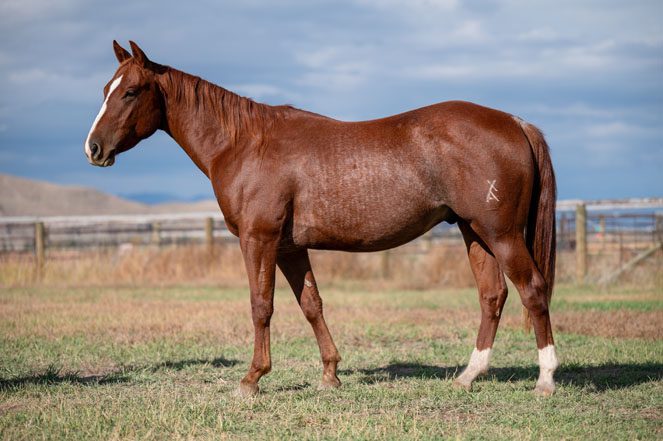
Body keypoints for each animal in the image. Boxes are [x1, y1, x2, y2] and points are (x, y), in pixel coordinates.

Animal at [85, 41, 559, 397]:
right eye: (106, 88)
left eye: (131, 91)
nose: (93, 148)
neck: (243, 142)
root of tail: (515, 122)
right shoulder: (289, 247)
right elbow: (311, 304)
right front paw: (331, 373)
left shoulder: (258, 239)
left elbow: (261, 306)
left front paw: (252, 379)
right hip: (474, 232)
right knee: (492, 296)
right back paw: (468, 376)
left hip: (501, 234)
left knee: (532, 291)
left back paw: (546, 379)